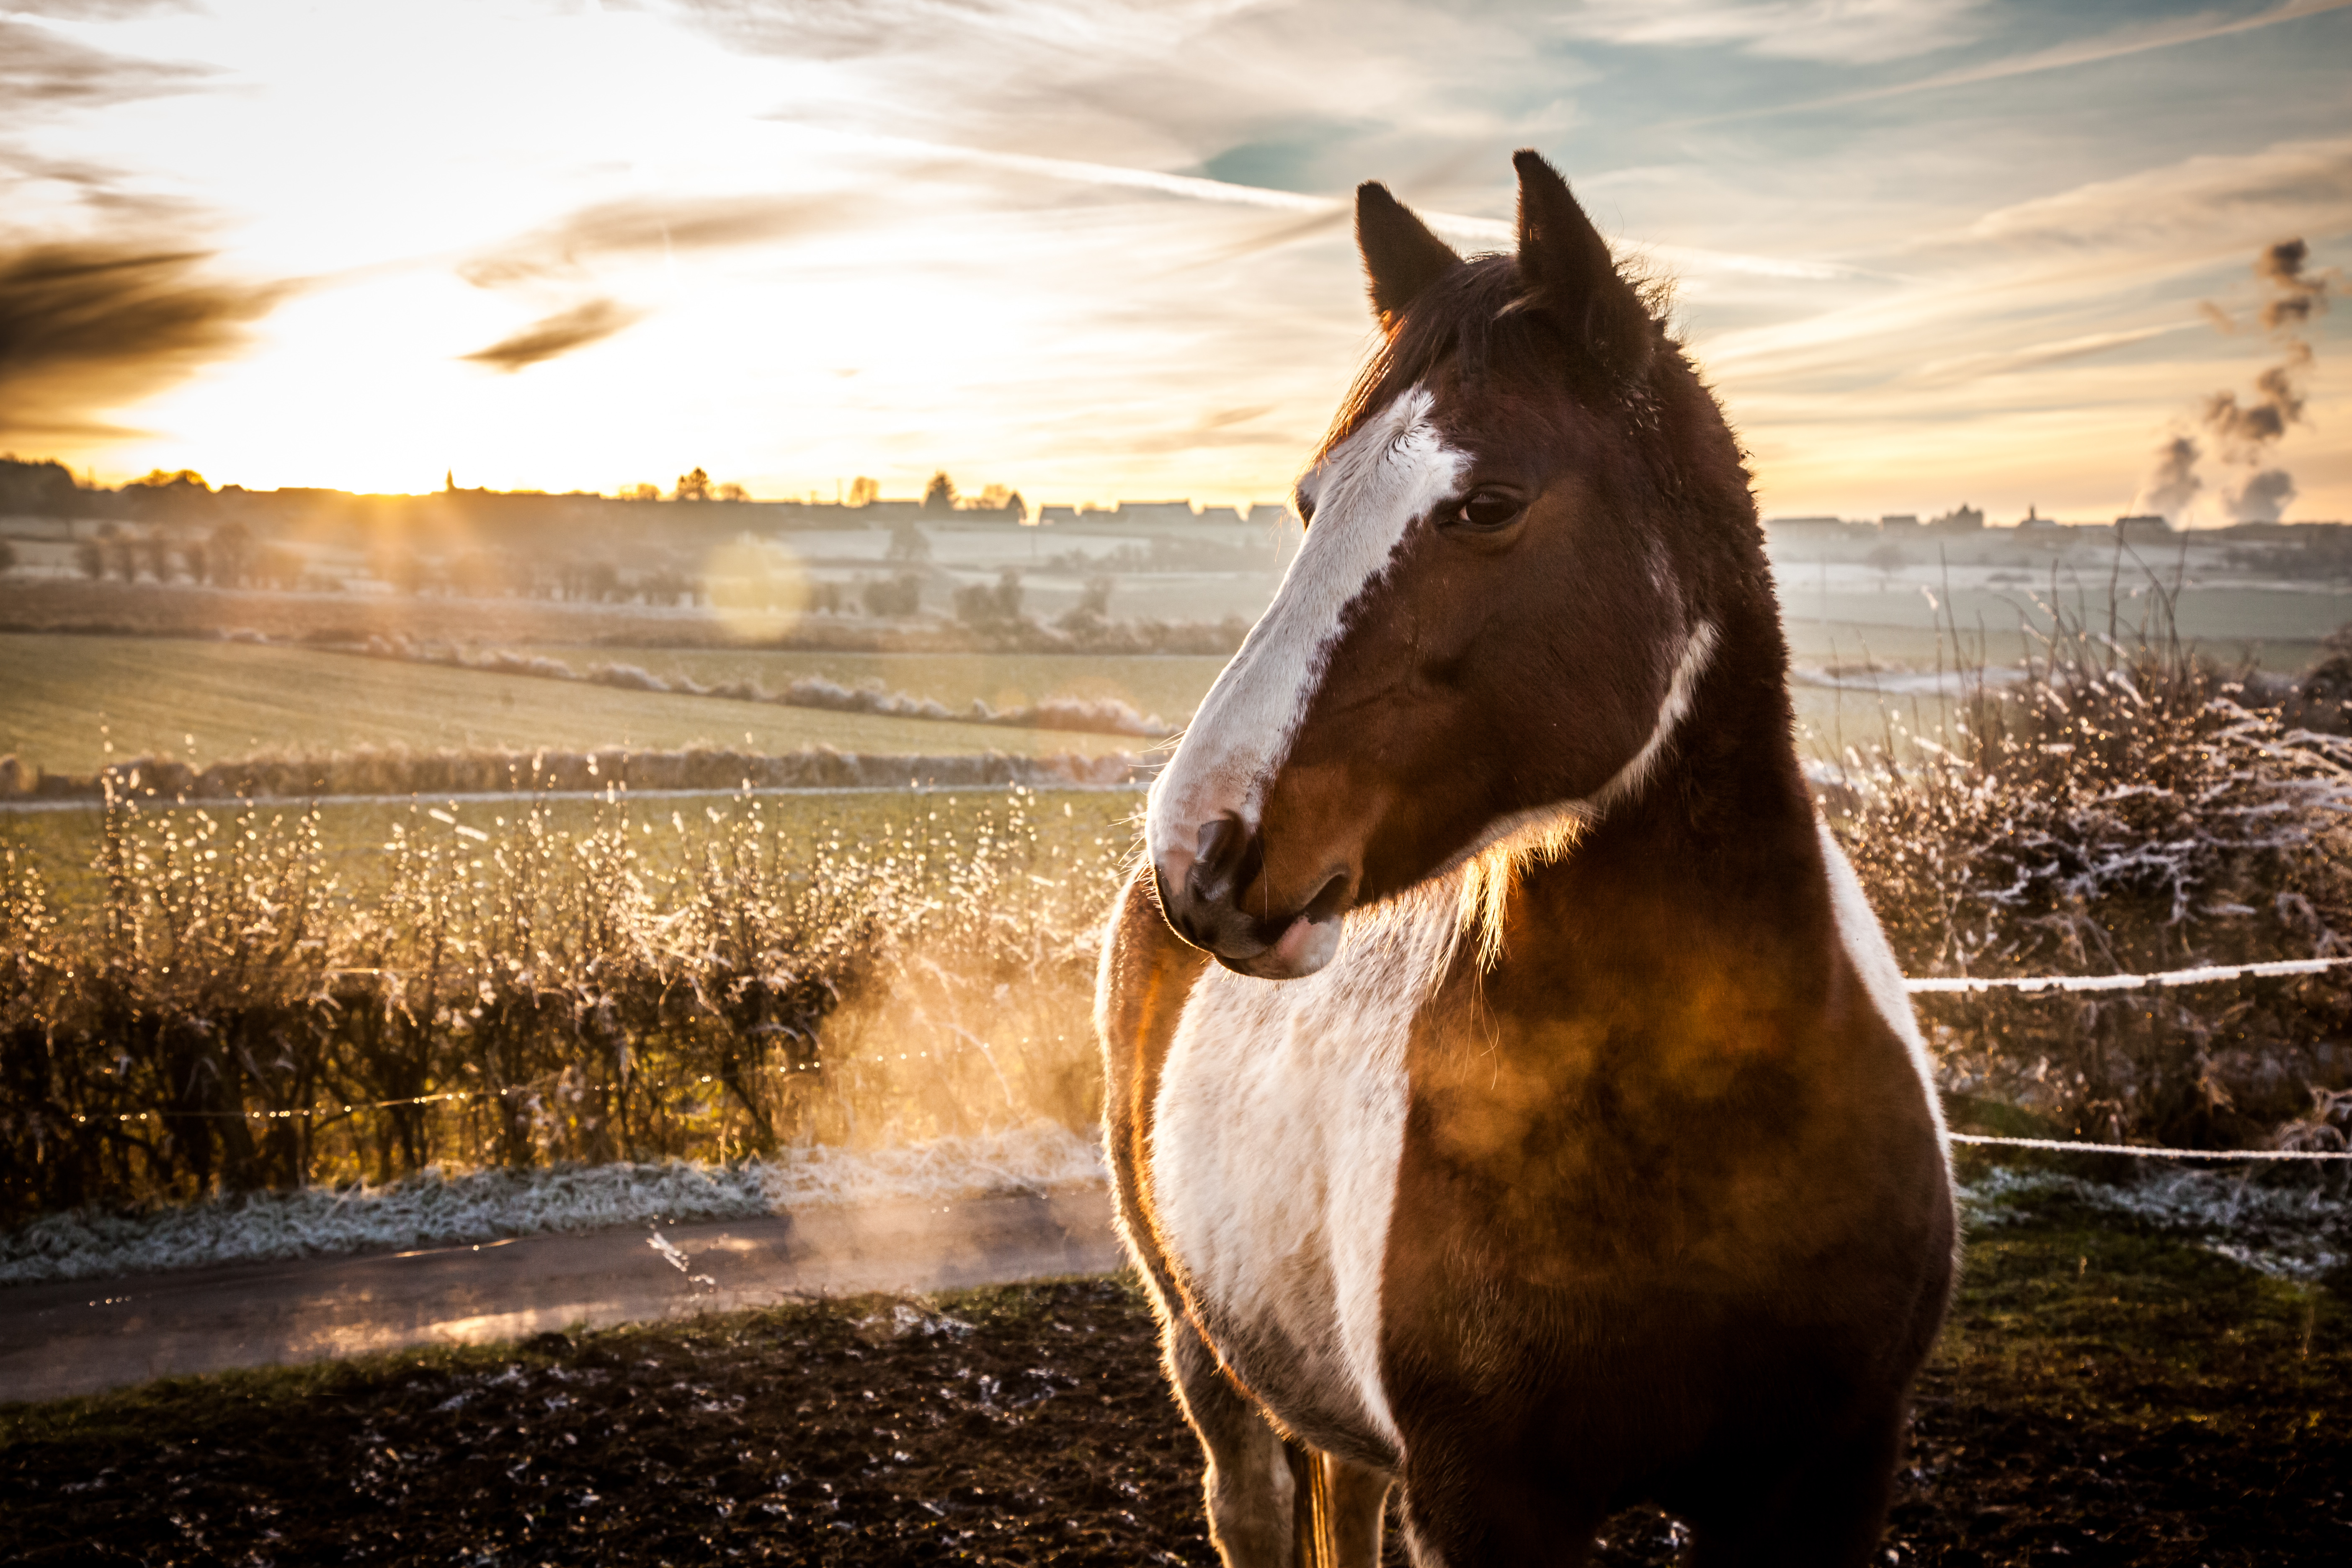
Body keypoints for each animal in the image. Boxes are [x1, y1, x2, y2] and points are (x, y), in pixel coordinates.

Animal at [1091, 150, 1957, 1568]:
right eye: (1312, 501)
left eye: (1486, 505)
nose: (1200, 849)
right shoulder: (1486, 1498)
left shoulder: (1826, 1478)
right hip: (1207, 1353)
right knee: (1253, 1500)